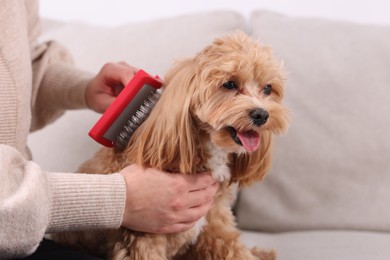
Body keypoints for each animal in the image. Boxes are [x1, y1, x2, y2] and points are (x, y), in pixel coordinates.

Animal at [52, 31, 290, 258]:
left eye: (267, 89)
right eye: (230, 84)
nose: (261, 115)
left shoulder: (216, 223)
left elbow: (234, 249)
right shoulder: (144, 236)